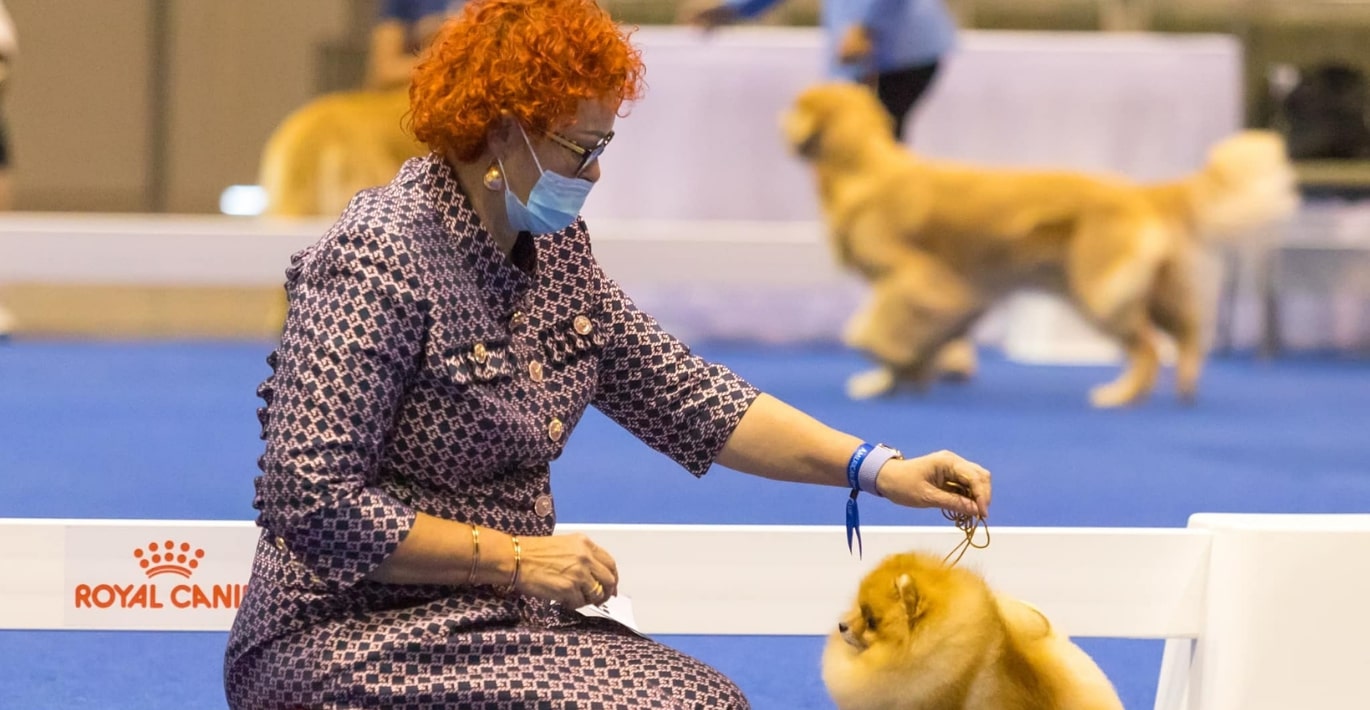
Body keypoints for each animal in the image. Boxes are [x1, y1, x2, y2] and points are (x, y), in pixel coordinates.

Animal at [783, 82, 1293, 408]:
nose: (783, 122)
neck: (862, 167)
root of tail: (1138, 191)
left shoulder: (919, 281)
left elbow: (877, 331)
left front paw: (888, 373)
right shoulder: (946, 296)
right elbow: (908, 341)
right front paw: (892, 382)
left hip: (1098, 290)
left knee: (1148, 347)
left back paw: (1119, 397)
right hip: (1148, 287)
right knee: (1187, 333)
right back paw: (1185, 387)